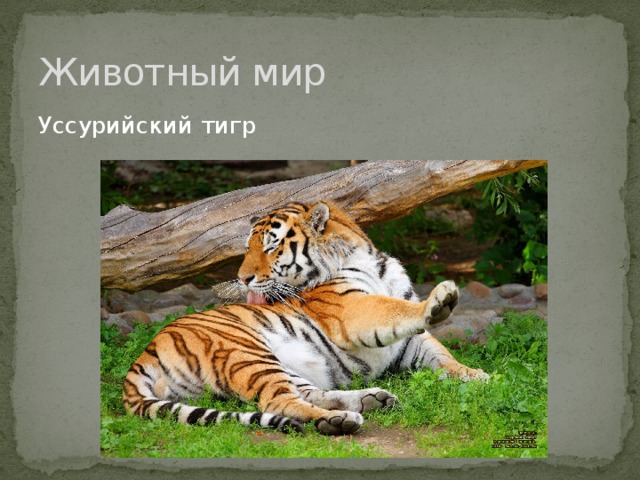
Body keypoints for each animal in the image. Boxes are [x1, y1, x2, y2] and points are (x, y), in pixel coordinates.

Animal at [123, 201, 489, 435]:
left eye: (270, 247)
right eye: (248, 248)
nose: (243, 279)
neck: (367, 259)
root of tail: (143, 356)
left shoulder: (412, 341)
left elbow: (443, 356)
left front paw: (477, 376)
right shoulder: (352, 311)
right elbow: (392, 309)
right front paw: (439, 300)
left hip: (282, 365)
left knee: (307, 393)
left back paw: (371, 400)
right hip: (245, 352)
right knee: (279, 401)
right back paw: (343, 420)